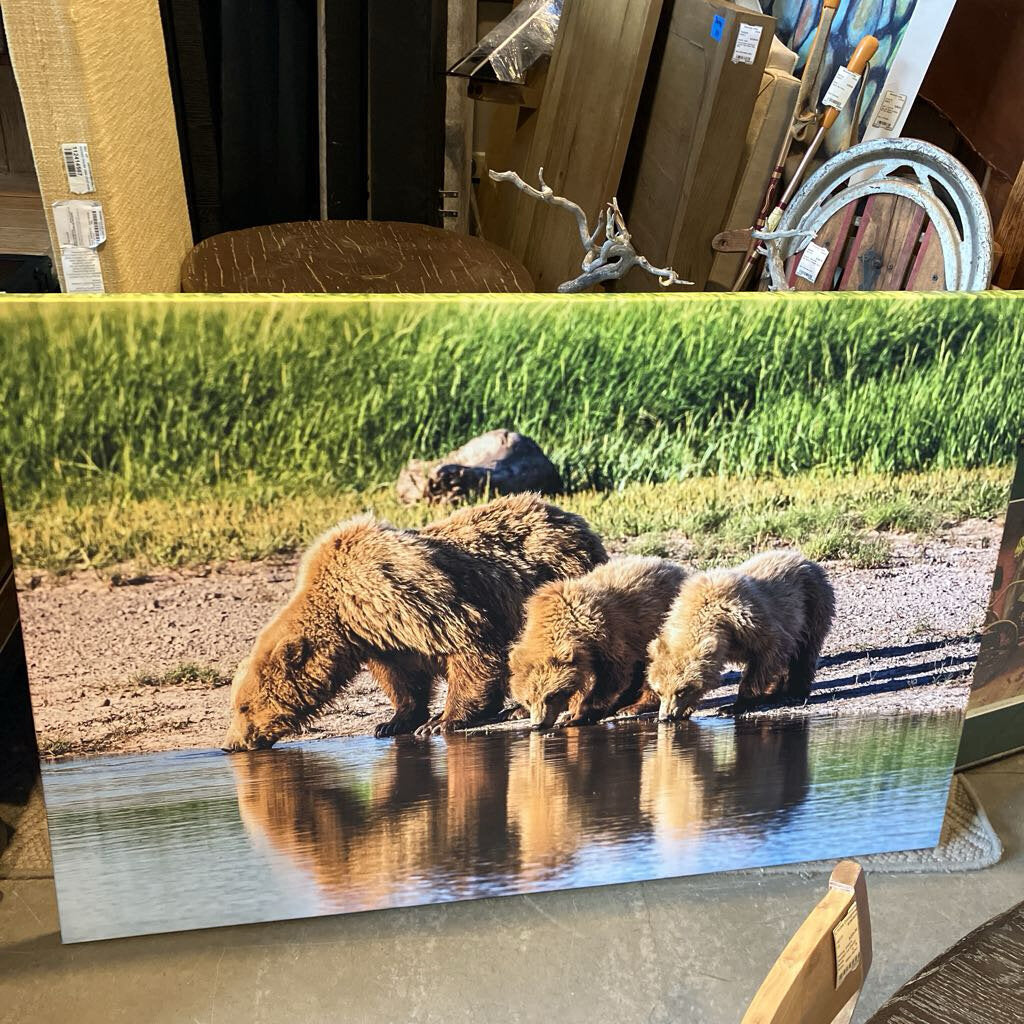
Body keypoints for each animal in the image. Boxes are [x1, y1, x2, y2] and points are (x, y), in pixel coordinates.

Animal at [221, 493, 607, 750]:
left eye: (243, 706)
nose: (231, 744)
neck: (345, 614)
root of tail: (573, 519)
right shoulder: (382, 636)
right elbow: (401, 678)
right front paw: (393, 722)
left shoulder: (402, 596)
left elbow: (470, 642)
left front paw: (440, 722)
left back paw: (521, 709)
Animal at [508, 556, 688, 730]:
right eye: (528, 700)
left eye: (551, 696)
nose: (537, 724)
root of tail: (679, 569)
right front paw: (567, 713)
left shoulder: (608, 634)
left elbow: (611, 677)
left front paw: (578, 716)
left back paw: (633, 707)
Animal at [647, 550, 835, 722]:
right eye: (659, 691)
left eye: (681, 690)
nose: (665, 716)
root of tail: (804, 559)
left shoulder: (748, 621)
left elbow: (770, 650)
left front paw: (733, 705)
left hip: (812, 603)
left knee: (804, 651)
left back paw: (794, 692)